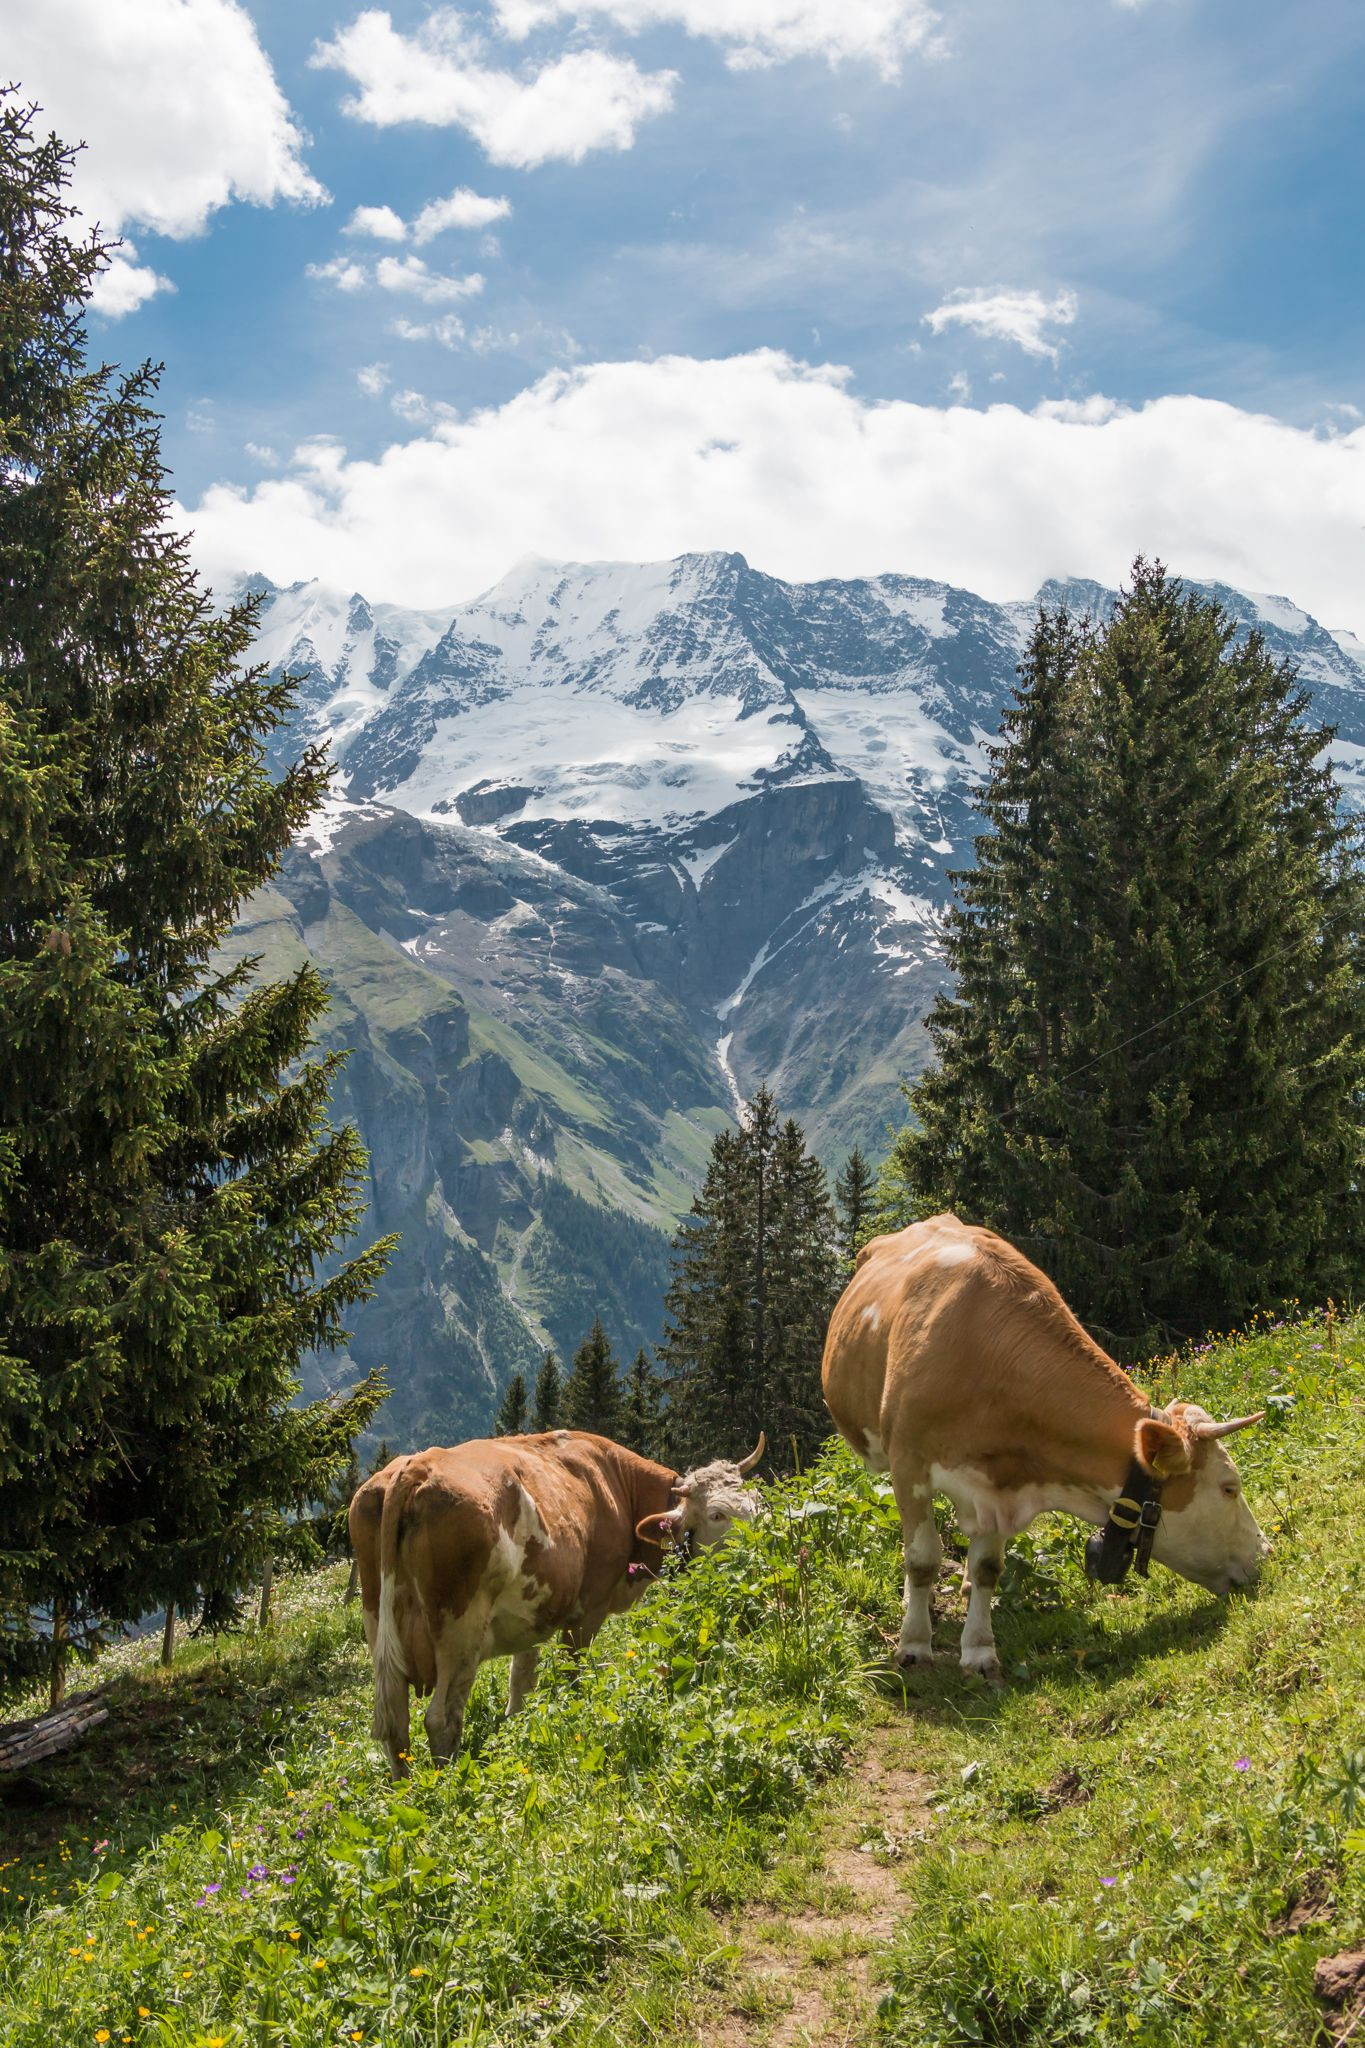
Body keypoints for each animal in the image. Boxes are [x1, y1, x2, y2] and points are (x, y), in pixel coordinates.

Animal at [347, 1425, 765, 1777]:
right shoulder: (588, 1610)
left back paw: (406, 1790)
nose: (760, 1549)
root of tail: (415, 1467)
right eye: (717, 1514)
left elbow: (522, 1679)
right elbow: (572, 1675)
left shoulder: (531, 1613)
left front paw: (515, 1728)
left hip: (378, 1621)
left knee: (396, 1721)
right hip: (459, 1629)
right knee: (441, 1718)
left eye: (755, 1502)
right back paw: (446, 1789)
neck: (618, 1488)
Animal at [818, 1212, 1268, 1679]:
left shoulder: (1000, 1480)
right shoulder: (910, 1465)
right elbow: (922, 1559)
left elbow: (988, 1567)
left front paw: (979, 1650)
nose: (1266, 1552)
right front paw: (914, 1645)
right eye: (1229, 1487)